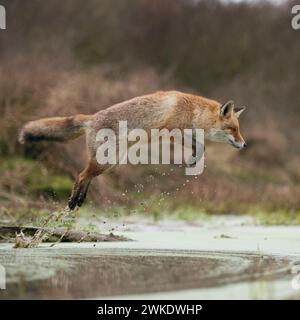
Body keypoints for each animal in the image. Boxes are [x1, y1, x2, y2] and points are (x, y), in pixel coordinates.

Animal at [18, 90, 245, 210]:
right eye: (233, 129)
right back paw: (73, 201)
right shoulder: (171, 131)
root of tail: (92, 117)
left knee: (86, 176)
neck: (194, 111)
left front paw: (193, 159)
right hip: (106, 161)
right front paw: (193, 159)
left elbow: (199, 144)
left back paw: (80, 200)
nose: (244, 144)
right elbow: (201, 145)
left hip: (111, 162)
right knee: (81, 175)